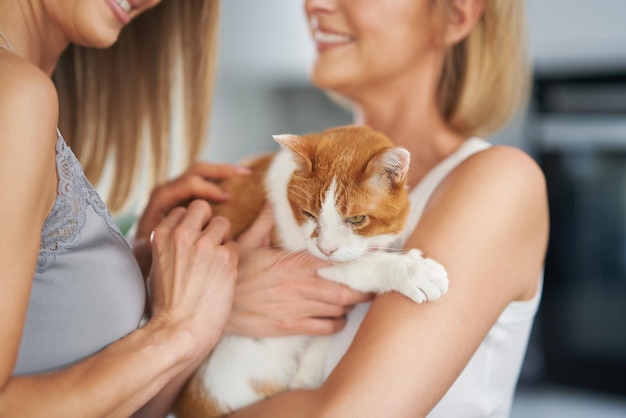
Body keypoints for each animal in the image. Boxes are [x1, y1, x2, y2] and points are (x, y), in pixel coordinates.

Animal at [173, 125, 446, 418]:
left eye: (356, 219)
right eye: (309, 214)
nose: (325, 248)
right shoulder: (304, 260)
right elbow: (362, 265)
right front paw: (413, 270)